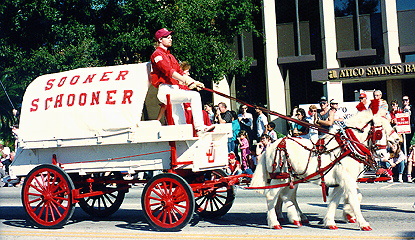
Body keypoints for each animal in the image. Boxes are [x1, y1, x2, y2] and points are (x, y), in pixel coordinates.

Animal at [252, 110, 402, 231]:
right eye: (379, 132)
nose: (384, 154)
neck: (348, 147)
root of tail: (271, 146)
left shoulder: (341, 182)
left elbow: (336, 201)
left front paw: (332, 221)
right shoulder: (347, 180)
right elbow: (354, 199)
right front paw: (363, 223)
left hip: (292, 178)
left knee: (287, 196)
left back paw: (296, 218)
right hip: (280, 177)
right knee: (272, 197)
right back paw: (275, 222)